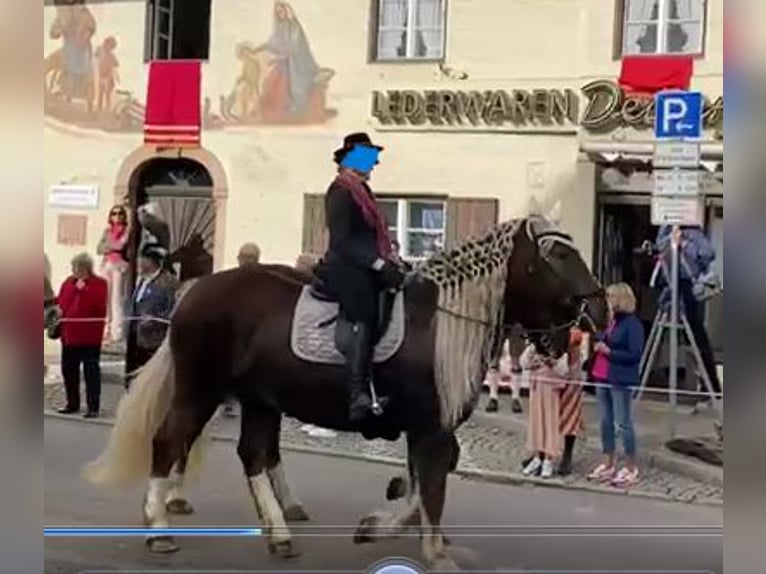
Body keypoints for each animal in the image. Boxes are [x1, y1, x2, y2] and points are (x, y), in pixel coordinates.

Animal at [84, 214, 608, 572]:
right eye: (558, 256)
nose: (599, 311)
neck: (438, 322)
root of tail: (194, 291)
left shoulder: (427, 428)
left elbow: (424, 486)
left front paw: (389, 525)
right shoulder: (430, 427)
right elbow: (431, 487)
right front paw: (425, 547)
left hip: (258, 399)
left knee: (252, 453)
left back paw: (278, 532)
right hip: (201, 387)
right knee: (170, 440)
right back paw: (159, 527)